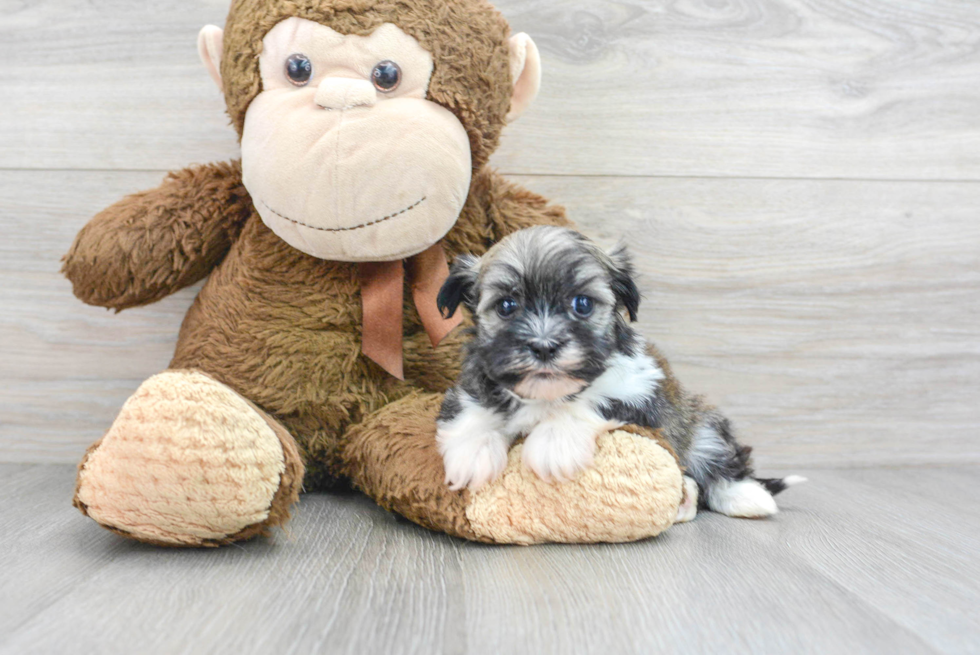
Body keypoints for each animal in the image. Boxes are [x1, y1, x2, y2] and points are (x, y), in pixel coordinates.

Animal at [436, 228, 804, 520]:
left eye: (582, 304)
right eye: (506, 306)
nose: (544, 346)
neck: (549, 394)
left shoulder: (641, 389)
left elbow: (593, 400)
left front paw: (554, 442)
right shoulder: (472, 383)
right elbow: (473, 408)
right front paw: (474, 450)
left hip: (703, 425)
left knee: (717, 461)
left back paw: (747, 497)